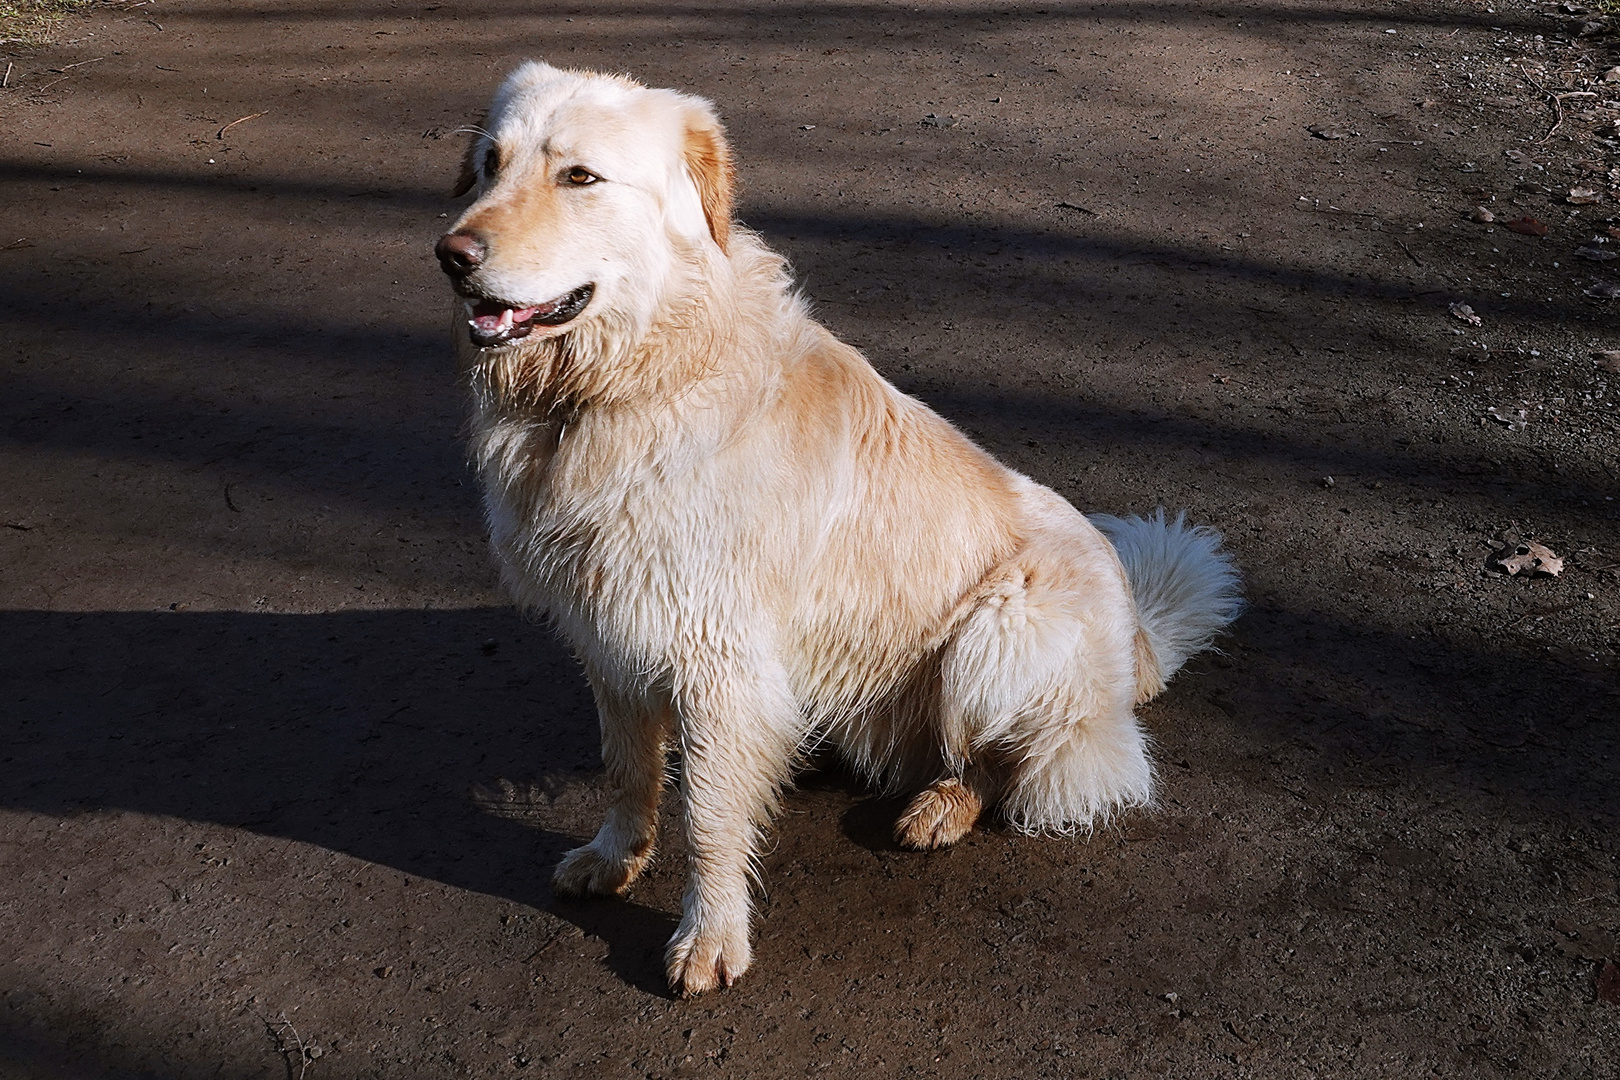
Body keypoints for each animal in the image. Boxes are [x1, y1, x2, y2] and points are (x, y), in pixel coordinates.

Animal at [430, 63, 1237, 1003]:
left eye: (580, 177)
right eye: (489, 164)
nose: (453, 256)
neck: (620, 385)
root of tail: (1139, 641)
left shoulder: (713, 653)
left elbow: (710, 815)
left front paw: (711, 936)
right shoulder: (612, 634)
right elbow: (629, 769)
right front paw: (613, 856)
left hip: (1002, 629)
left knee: (1009, 764)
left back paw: (941, 807)